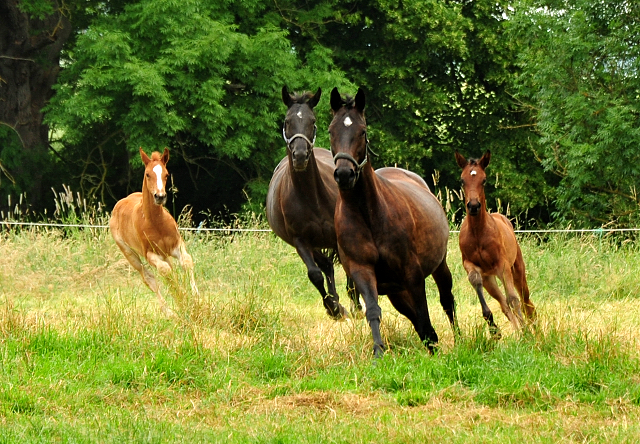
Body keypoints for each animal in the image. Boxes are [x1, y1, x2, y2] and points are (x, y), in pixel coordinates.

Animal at [110, 147, 198, 312]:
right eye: (147, 174)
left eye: (166, 174)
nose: (160, 196)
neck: (156, 223)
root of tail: (120, 203)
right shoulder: (150, 254)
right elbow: (164, 271)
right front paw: (182, 300)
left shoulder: (177, 244)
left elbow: (186, 262)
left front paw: (195, 298)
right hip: (129, 253)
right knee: (149, 278)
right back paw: (169, 312)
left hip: (164, 253)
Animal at [264, 85, 360, 318]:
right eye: (287, 121)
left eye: (313, 121)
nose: (300, 156)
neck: (312, 198)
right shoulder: (300, 241)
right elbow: (315, 274)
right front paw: (334, 308)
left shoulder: (340, 236)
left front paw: (356, 306)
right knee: (325, 266)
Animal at [328, 87, 458, 358]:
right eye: (331, 131)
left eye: (362, 131)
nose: (344, 174)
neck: (369, 215)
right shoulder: (362, 271)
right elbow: (373, 311)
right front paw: (378, 351)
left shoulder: (413, 274)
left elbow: (425, 313)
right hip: (396, 292)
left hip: (438, 266)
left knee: (447, 302)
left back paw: (462, 338)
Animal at [456, 149, 536, 336]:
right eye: (462, 180)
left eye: (484, 180)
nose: (473, 206)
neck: (478, 233)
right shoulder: (470, 265)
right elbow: (476, 280)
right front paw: (493, 329)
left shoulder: (503, 265)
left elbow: (513, 299)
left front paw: (526, 333)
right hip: (490, 279)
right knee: (504, 304)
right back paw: (516, 331)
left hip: (517, 270)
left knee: (526, 302)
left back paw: (533, 329)